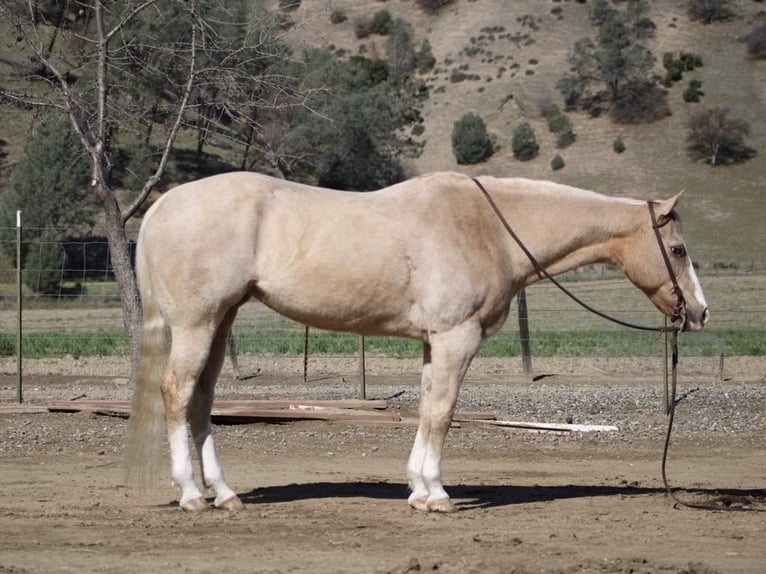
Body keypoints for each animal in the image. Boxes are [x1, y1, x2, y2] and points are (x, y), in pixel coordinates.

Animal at [126, 171, 709, 512]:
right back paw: (191, 495)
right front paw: (438, 495)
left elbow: (427, 407)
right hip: (198, 324)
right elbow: (443, 412)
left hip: (220, 323)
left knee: (201, 402)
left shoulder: (434, 343)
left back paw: (224, 494)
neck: (487, 227)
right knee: (177, 393)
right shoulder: (456, 338)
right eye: (679, 249)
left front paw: (417, 488)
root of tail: (162, 206)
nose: (700, 313)